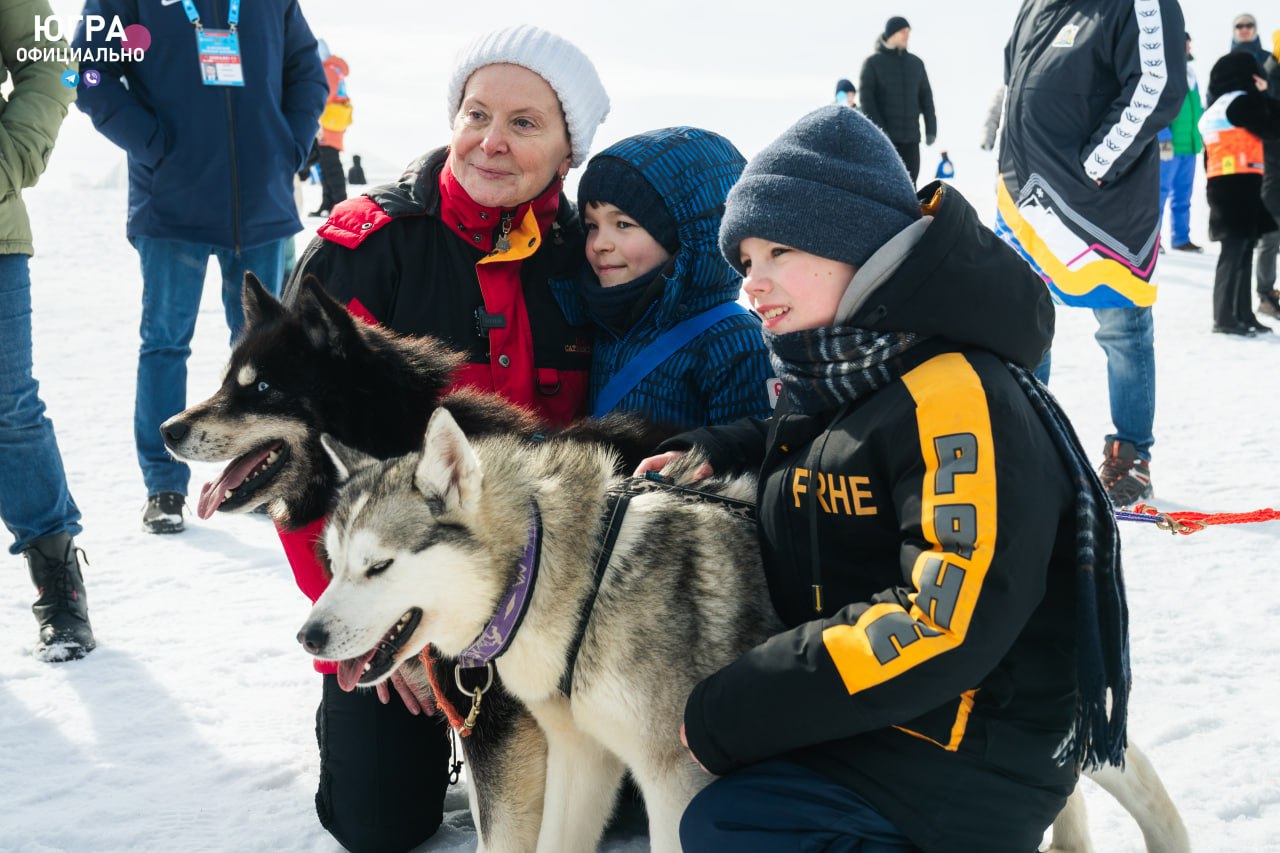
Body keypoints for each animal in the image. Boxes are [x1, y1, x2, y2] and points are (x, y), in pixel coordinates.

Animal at [299, 404, 1187, 850]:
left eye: (379, 566)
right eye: (333, 560)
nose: (308, 637)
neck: (564, 568)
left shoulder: (674, 777)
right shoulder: (586, 757)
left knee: (1126, 769)